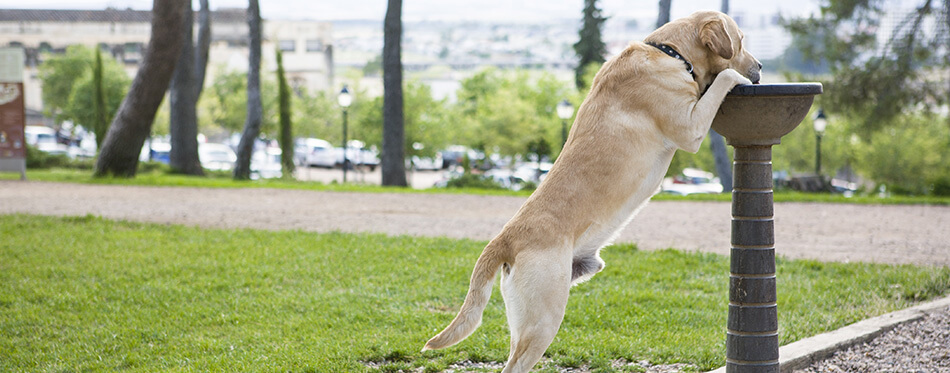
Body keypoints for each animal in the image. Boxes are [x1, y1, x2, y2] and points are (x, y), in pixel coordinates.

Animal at [424, 10, 768, 370]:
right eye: (741, 40)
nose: (761, 66)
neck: (671, 53)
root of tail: (504, 239)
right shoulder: (689, 127)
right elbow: (724, 77)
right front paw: (734, 76)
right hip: (543, 317)